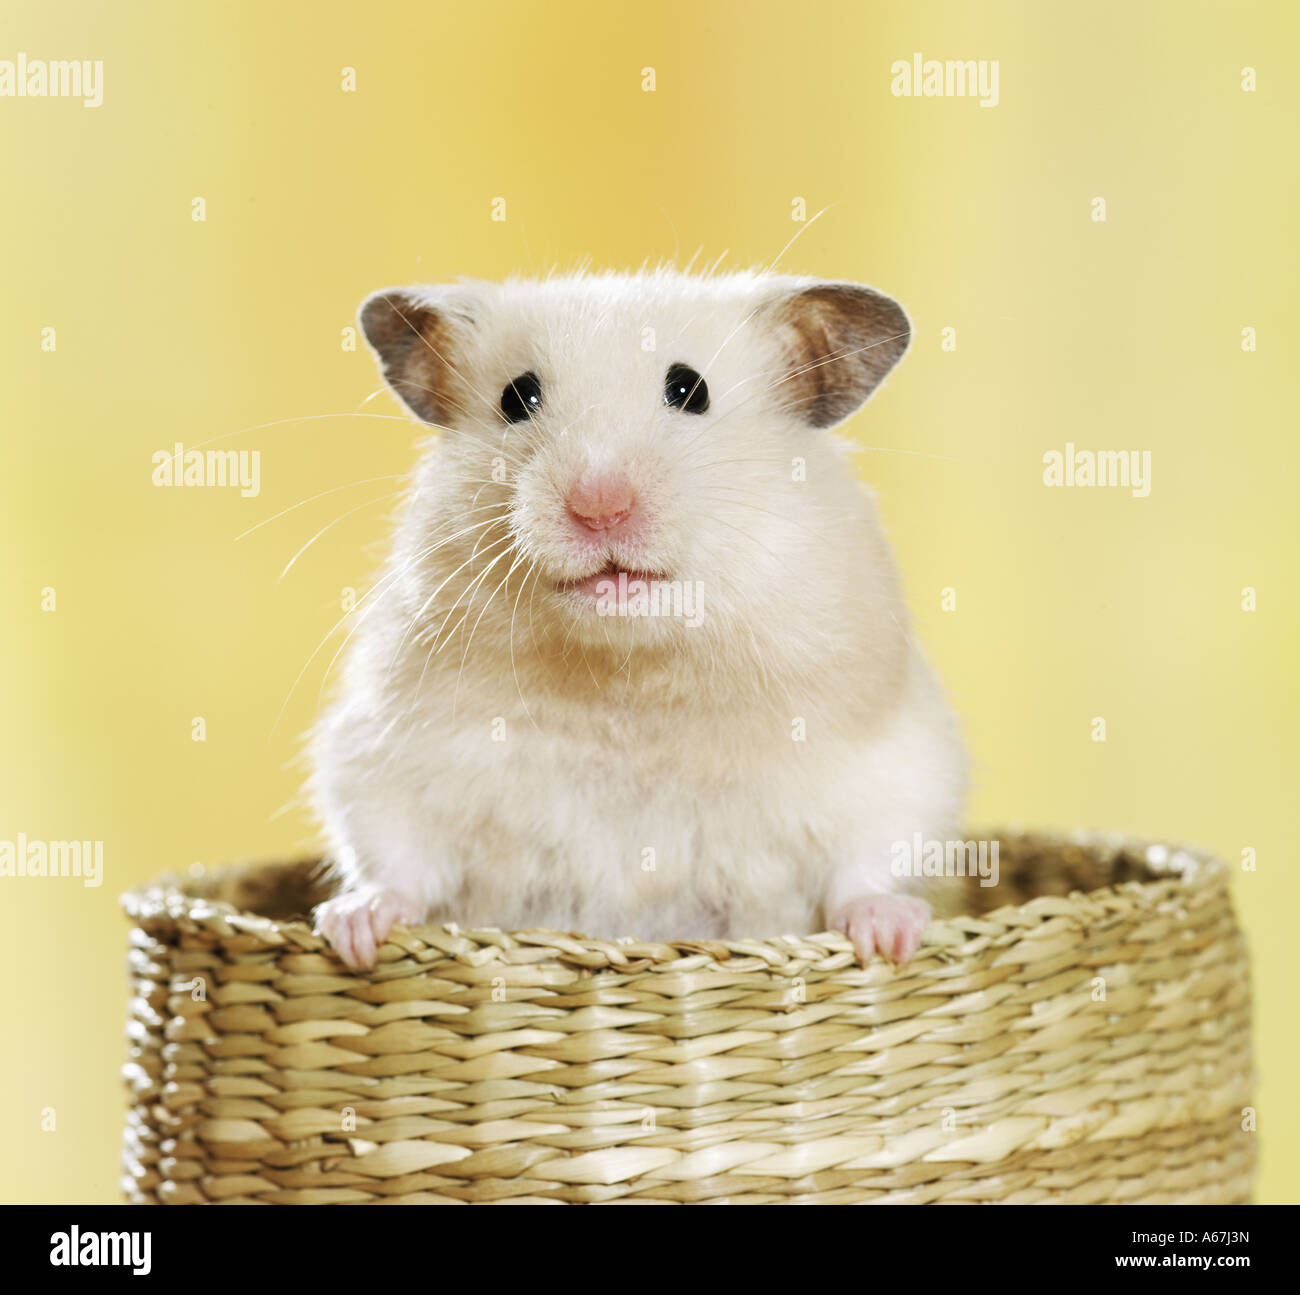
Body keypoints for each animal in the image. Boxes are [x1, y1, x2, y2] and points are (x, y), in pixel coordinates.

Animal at [309, 268, 967, 971]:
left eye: (690, 390)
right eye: (518, 397)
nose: (599, 507)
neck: (629, 680)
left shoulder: (890, 754)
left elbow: (868, 862)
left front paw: (889, 940)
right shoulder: (391, 749)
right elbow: (397, 857)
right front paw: (354, 934)